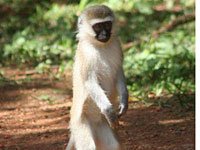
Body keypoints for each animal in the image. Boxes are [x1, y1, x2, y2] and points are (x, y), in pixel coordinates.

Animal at [66, 4, 129, 150]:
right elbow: (90, 82)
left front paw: (124, 101)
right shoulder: (85, 53)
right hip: (80, 125)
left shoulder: (117, 44)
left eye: (107, 24)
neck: (101, 46)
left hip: (101, 125)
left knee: (113, 145)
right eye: (98, 27)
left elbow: (118, 72)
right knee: (88, 146)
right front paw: (108, 110)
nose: (105, 34)